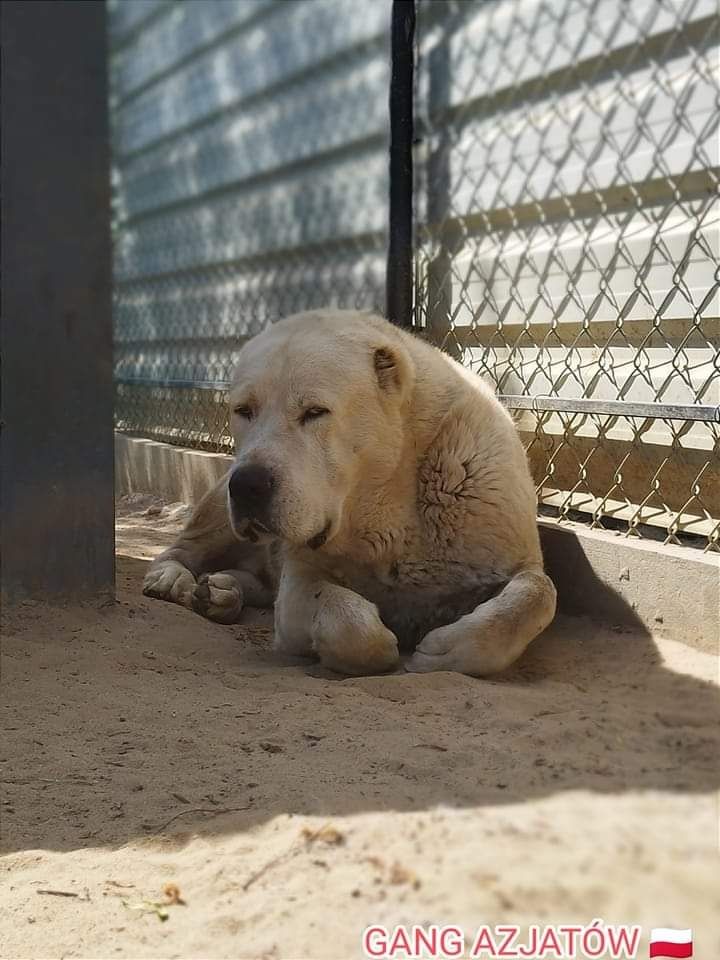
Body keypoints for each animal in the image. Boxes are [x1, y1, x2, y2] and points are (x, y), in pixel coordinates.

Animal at [142, 310, 556, 676]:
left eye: (314, 412)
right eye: (244, 410)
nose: (247, 485)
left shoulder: (511, 554)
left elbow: (537, 595)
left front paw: (446, 651)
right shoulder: (299, 586)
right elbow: (354, 629)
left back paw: (221, 591)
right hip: (218, 506)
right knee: (184, 548)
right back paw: (173, 579)